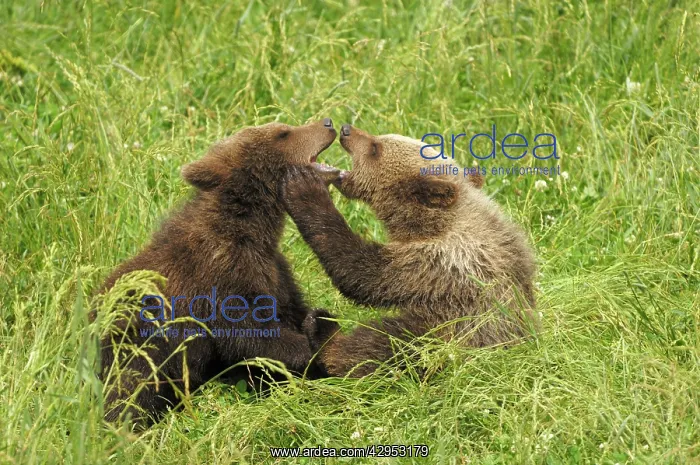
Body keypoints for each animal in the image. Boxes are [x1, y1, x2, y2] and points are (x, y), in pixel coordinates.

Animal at [95, 119, 337, 424]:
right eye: (283, 133)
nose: (327, 122)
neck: (252, 229)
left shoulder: (274, 272)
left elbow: (290, 309)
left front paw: (321, 324)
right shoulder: (220, 278)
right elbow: (251, 335)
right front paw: (312, 350)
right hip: (137, 342)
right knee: (132, 390)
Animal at [280, 124, 538, 377]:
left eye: (375, 148)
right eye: (379, 138)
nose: (346, 129)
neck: (428, 226)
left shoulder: (441, 262)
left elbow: (362, 273)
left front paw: (304, 189)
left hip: (453, 333)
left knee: (388, 345)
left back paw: (323, 331)